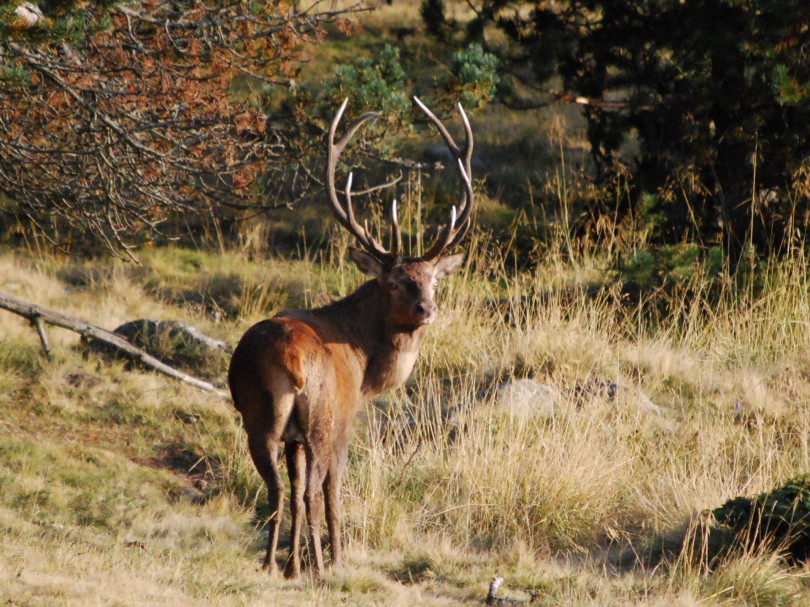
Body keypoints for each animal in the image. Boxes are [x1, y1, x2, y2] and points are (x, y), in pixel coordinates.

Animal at [227, 96, 475, 578]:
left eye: (433, 280)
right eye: (394, 282)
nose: (427, 309)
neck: (365, 367)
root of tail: (291, 361)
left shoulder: (292, 438)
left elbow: (294, 489)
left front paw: (293, 562)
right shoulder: (345, 419)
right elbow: (331, 493)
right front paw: (335, 558)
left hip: (257, 416)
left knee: (277, 490)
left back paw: (273, 566)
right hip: (322, 418)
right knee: (313, 490)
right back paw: (323, 567)